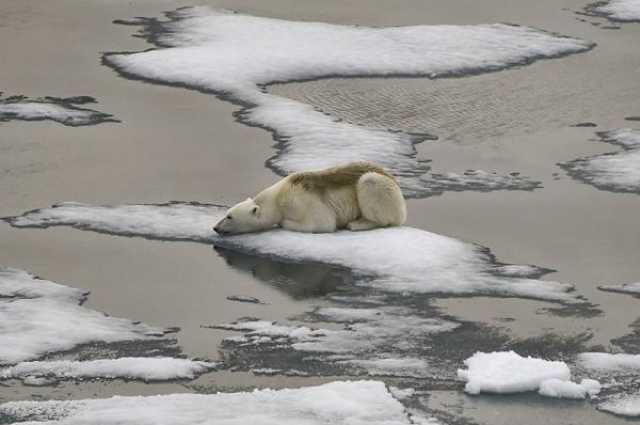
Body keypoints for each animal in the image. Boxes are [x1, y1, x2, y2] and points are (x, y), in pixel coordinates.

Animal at [214, 161, 404, 235]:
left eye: (229, 216)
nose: (215, 227)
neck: (279, 196)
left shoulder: (301, 200)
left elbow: (322, 223)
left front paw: (284, 222)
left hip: (383, 189)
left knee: (370, 183)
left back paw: (357, 223)